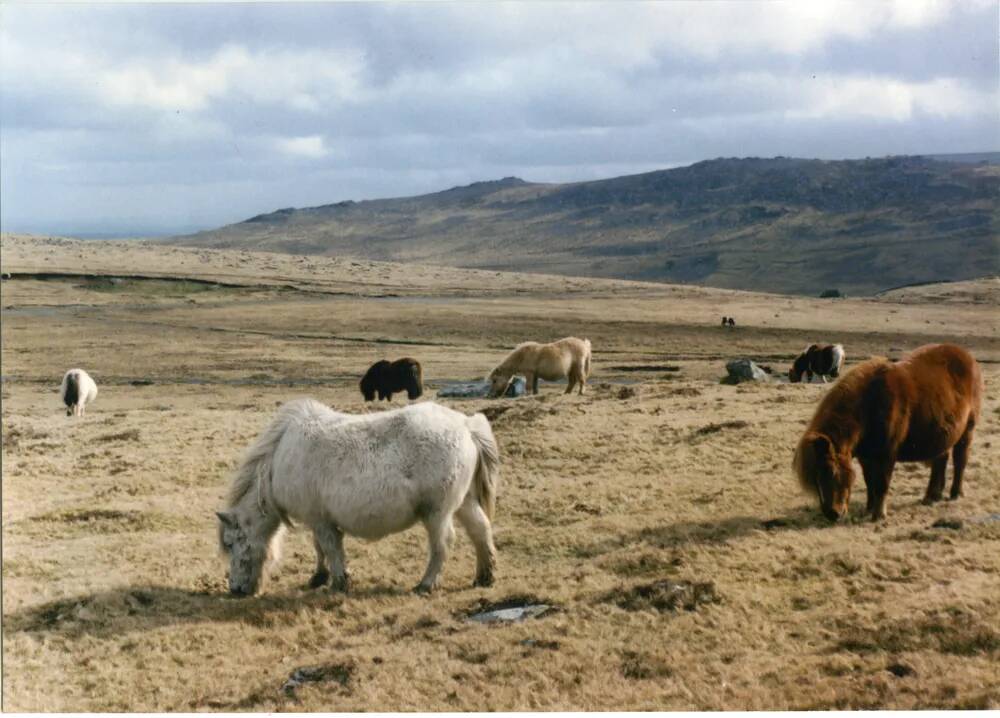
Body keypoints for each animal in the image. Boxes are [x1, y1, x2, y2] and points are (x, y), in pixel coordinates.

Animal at [217, 400, 500, 596]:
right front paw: (319, 577)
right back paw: (484, 577)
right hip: (464, 503)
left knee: (443, 544)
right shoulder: (319, 520)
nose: (235, 590)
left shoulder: (320, 521)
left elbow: (330, 549)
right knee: (481, 530)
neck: (279, 458)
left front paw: (339, 582)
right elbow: (320, 548)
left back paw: (426, 585)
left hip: (437, 513)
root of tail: (466, 426)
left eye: (230, 544)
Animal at [792, 344, 980, 524]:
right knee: (940, 460)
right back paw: (932, 497)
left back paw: (956, 493)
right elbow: (869, 481)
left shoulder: (887, 454)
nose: (832, 514)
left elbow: (881, 483)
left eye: (831, 472)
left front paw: (879, 514)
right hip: (942, 433)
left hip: (967, 430)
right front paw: (869, 509)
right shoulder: (866, 457)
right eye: (816, 476)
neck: (870, 405)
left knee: (960, 460)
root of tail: (967, 356)